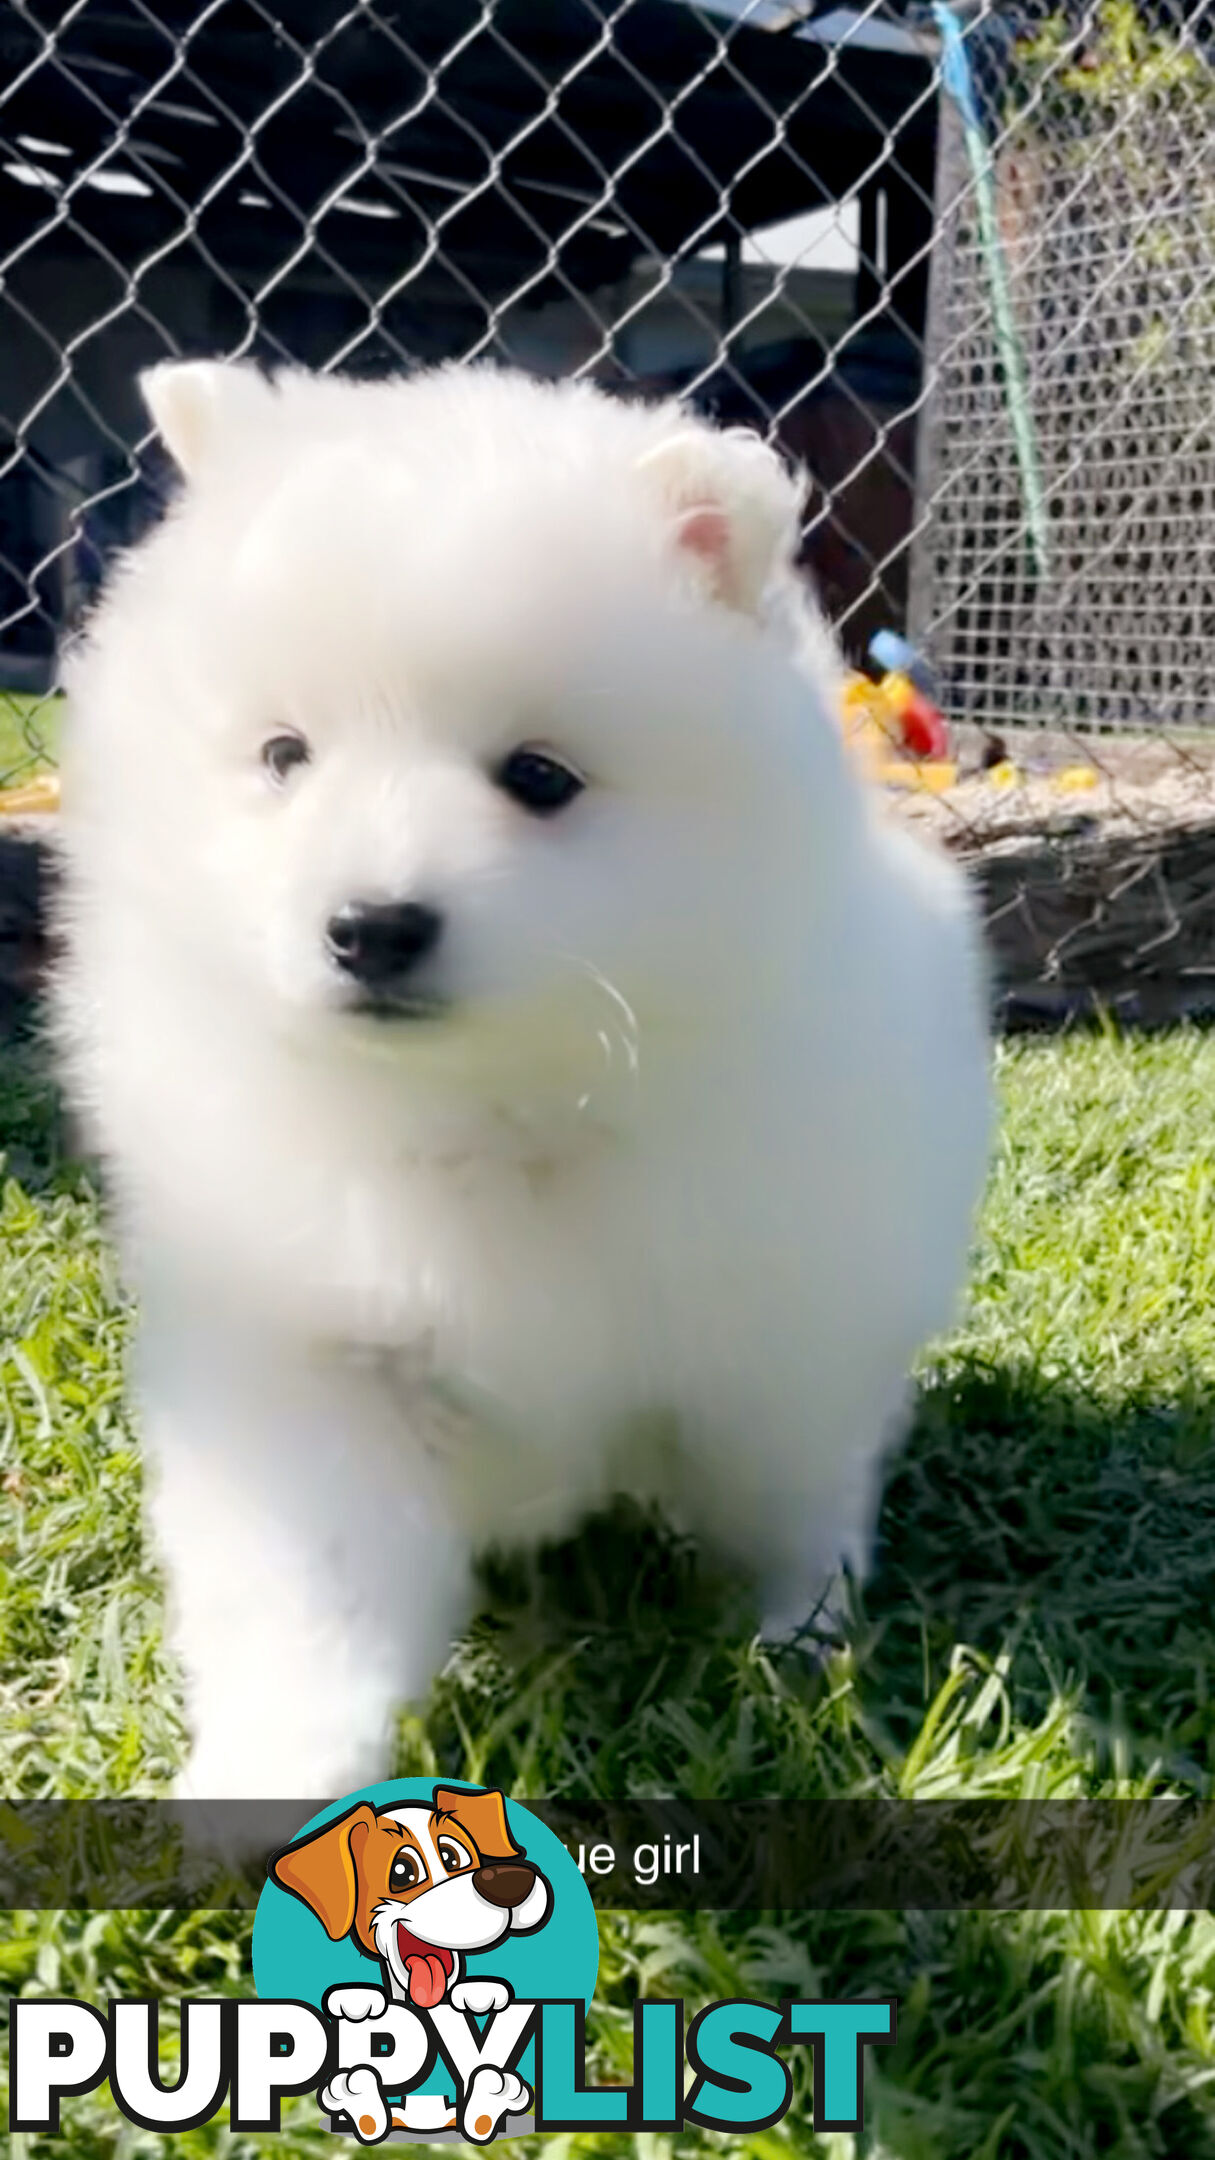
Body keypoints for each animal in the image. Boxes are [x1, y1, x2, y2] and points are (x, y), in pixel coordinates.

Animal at [51, 362, 990, 1797]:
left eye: (540, 777)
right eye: (283, 756)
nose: (369, 927)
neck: (496, 1107)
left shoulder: (774, 1328)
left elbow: (788, 1497)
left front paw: (798, 1639)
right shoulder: (307, 1353)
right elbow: (313, 1587)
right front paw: (271, 1767)